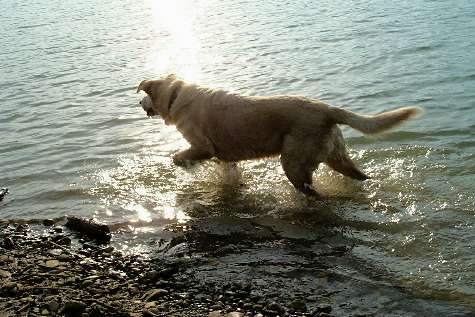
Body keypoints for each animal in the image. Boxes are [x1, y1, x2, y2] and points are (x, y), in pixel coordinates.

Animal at [137, 74, 420, 198]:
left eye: (145, 95)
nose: (140, 103)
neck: (174, 97)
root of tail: (327, 109)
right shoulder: (225, 156)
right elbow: (229, 171)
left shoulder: (203, 147)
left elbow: (177, 157)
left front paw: (184, 165)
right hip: (336, 157)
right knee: (360, 176)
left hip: (292, 162)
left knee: (311, 191)